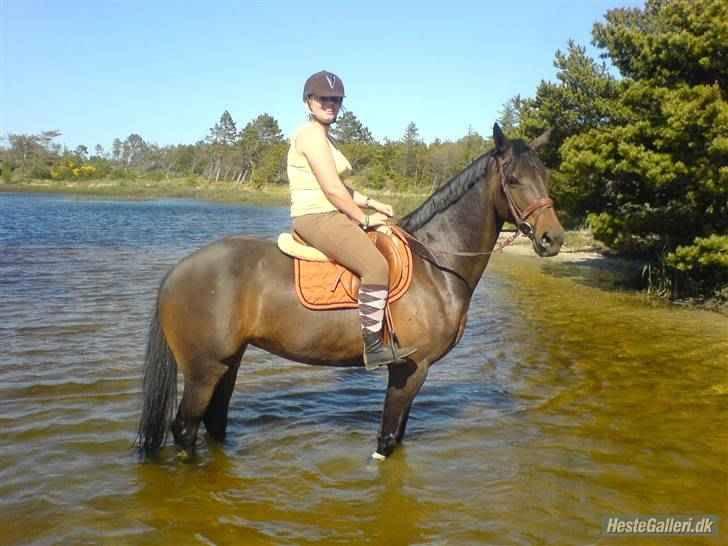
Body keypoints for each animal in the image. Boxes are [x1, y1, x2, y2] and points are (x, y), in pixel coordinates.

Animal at [138, 124, 568, 460]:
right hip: (203, 370)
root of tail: (177, 271)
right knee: (185, 429)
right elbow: (387, 442)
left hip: (228, 363)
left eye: (546, 177)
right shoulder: (410, 370)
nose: (553, 239)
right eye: (513, 180)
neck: (436, 264)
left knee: (213, 424)